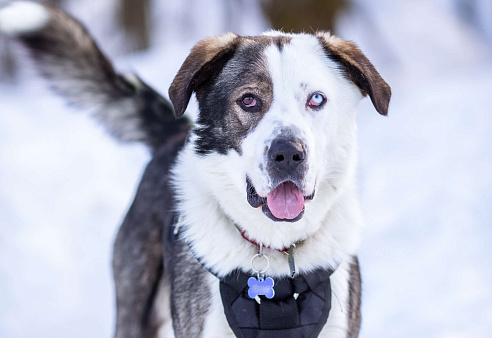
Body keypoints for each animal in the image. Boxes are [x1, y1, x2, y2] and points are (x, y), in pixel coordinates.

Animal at [0, 1, 392, 336]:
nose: (288, 154)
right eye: (249, 100)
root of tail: (175, 133)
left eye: (316, 99)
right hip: (135, 308)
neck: (277, 253)